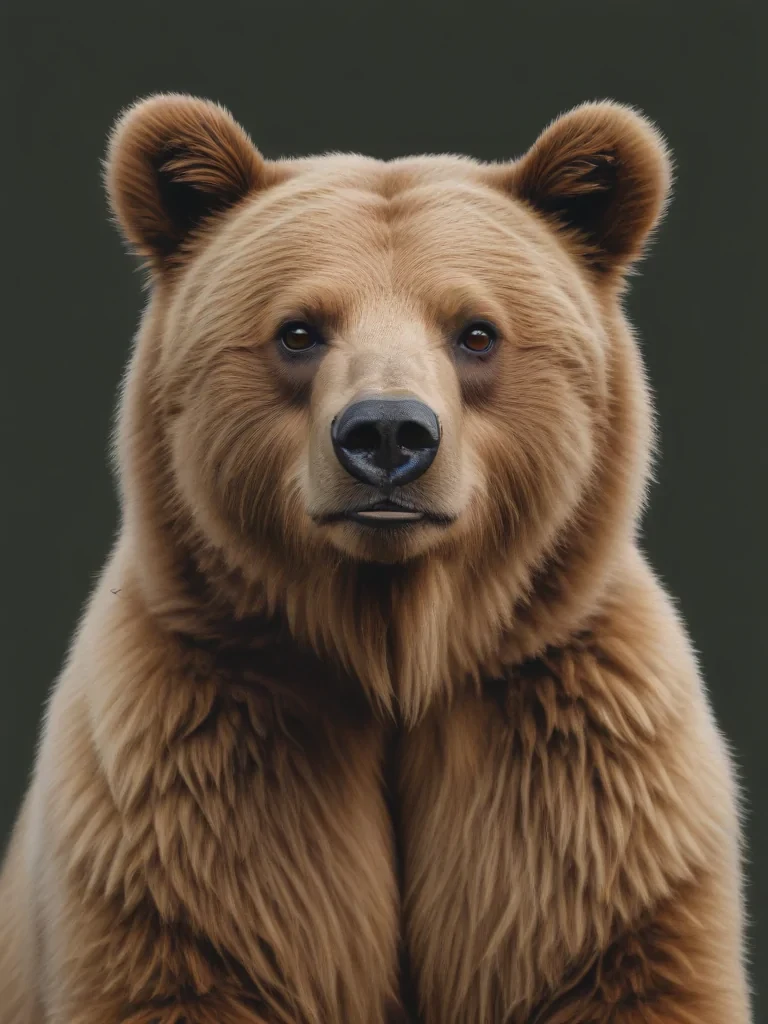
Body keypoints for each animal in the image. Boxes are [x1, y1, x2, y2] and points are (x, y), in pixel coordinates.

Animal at [0, 93, 751, 1024]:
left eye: (476, 333)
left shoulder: (583, 798)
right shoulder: (195, 795)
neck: (394, 650)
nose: (388, 433)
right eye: (297, 331)